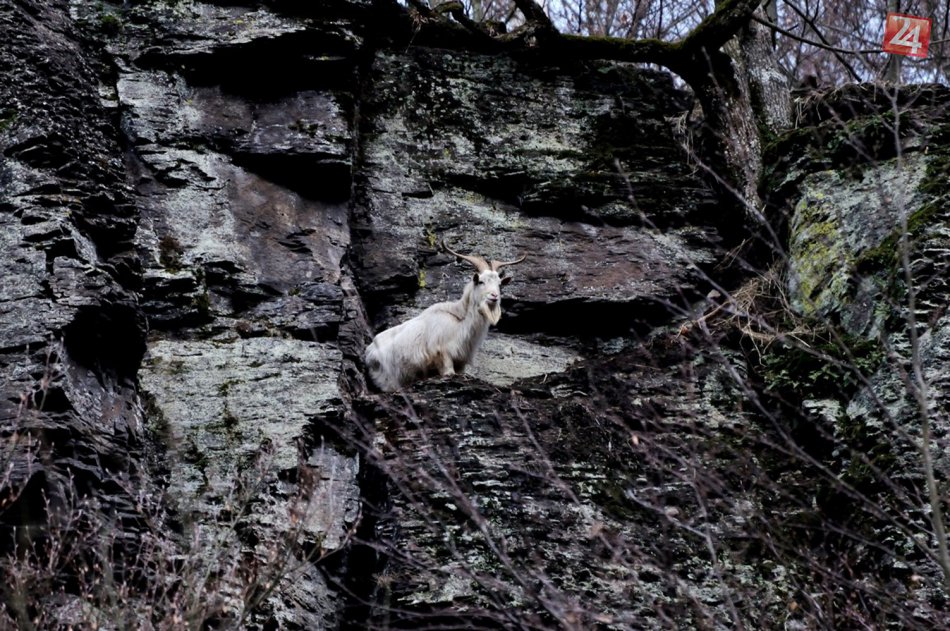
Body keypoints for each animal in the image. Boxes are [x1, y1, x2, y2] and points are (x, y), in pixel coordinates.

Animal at [364, 243, 526, 392]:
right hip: (388, 379)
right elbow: (448, 372)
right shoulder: (442, 354)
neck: (460, 321)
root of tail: (369, 352)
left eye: (499, 284)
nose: (494, 296)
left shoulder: (461, 361)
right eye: (480, 281)